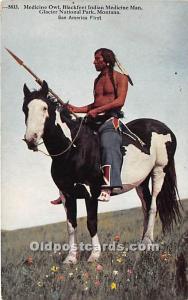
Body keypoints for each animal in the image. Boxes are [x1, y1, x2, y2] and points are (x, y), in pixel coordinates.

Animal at [22, 81, 181, 264]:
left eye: (44, 108)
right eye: (25, 108)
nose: (31, 139)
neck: (74, 148)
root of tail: (166, 129)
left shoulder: (90, 192)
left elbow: (91, 222)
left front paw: (94, 256)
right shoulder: (67, 194)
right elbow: (71, 225)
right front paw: (70, 259)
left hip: (159, 171)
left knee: (153, 206)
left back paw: (146, 244)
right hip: (141, 182)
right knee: (146, 207)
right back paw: (143, 245)